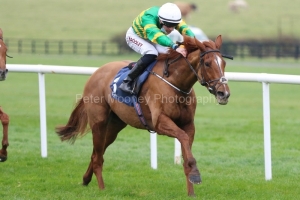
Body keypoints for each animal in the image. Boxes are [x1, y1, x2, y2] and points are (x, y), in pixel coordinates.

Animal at [55, 35, 232, 196]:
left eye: (224, 63)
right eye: (207, 63)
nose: (224, 93)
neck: (175, 82)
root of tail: (96, 72)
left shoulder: (188, 124)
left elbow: (186, 145)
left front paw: (191, 191)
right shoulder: (160, 122)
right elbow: (182, 138)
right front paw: (195, 173)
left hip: (115, 125)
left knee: (96, 153)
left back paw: (85, 180)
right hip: (99, 122)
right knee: (98, 157)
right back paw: (102, 188)